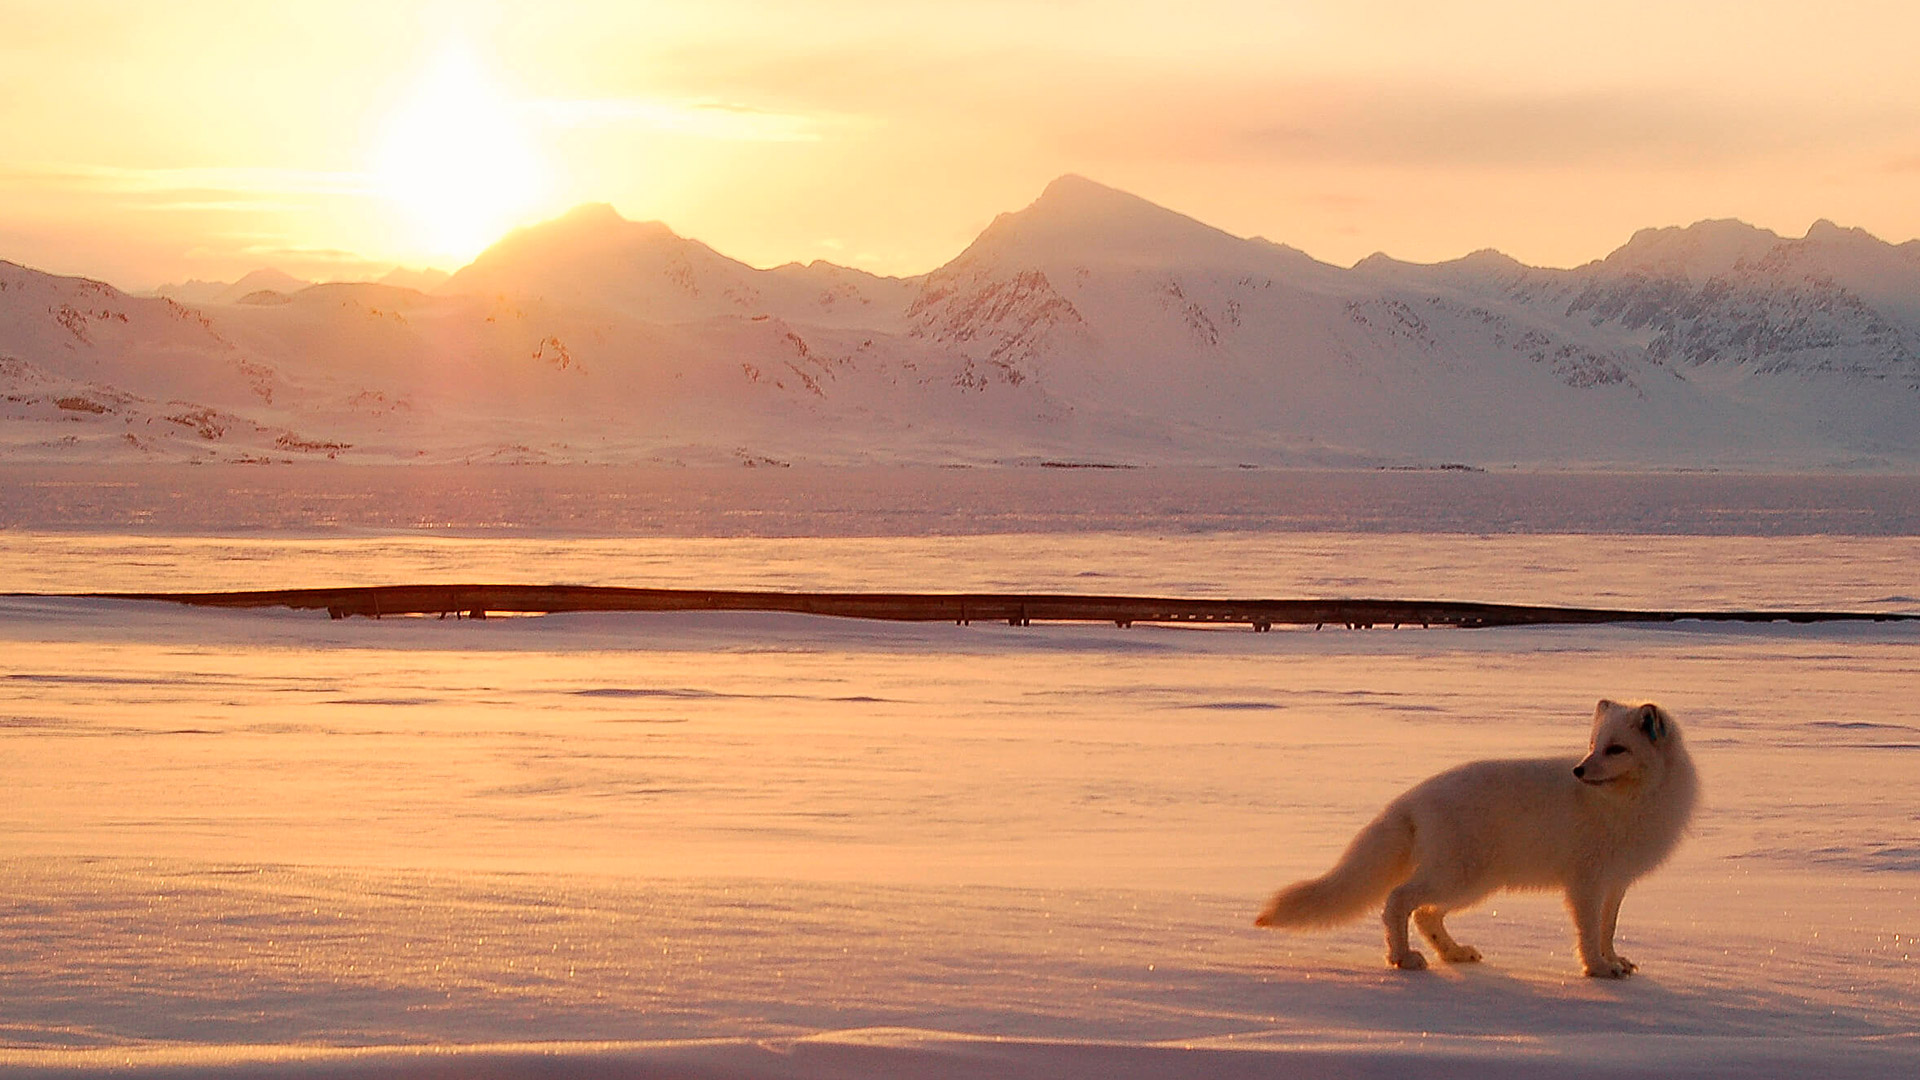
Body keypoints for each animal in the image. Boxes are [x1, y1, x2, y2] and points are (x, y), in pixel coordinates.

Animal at [1259, 699, 1697, 976]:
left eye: (1615, 749)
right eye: (1593, 746)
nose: (1578, 770)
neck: (1630, 801)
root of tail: (1412, 797)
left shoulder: (1616, 881)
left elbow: (1608, 929)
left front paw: (1616, 961)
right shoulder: (1585, 881)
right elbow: (1589, 932)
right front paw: (1598, 969)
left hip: (1474, 884)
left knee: (1425, 914)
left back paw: (1453, 953)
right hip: (1460, 878)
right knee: (1399, 900)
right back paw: (1402, 958)